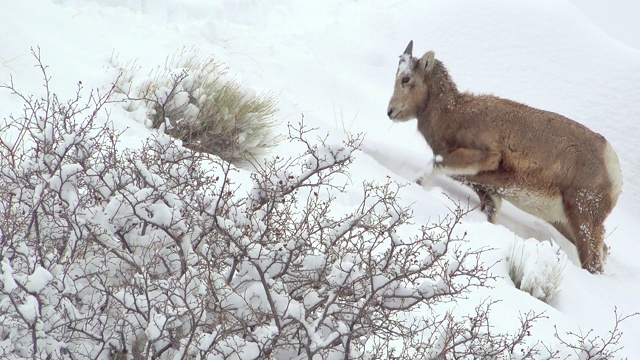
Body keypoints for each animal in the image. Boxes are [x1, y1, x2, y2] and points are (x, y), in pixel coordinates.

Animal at [388, 40, 624, 272]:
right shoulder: (487, 191)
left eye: (406, 78)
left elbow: (431, 170)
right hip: (565, 223)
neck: (453, 115)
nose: (390, 111)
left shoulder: (484, 157)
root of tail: (612, 166)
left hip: (582, 220)